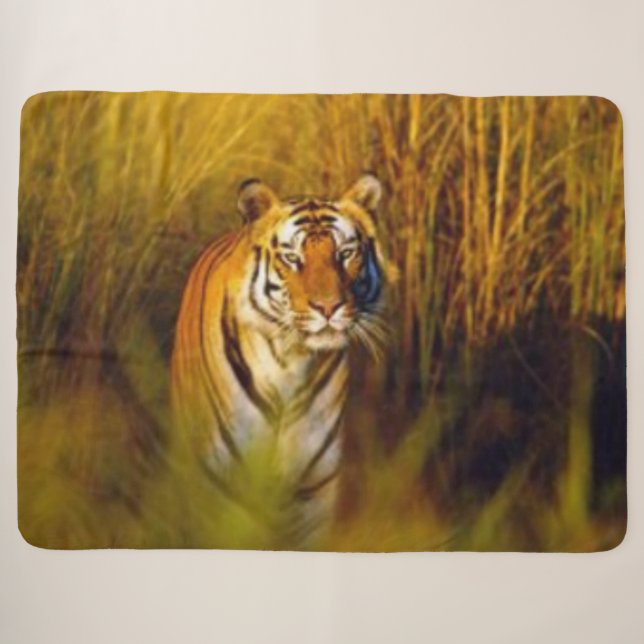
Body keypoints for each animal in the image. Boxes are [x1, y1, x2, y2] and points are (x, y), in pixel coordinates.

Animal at [170, 174, 393, 542]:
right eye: (292, 257)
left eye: (346, 254)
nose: (329, 307)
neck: (291, 362)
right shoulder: (220, 482)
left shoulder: (314, 490)